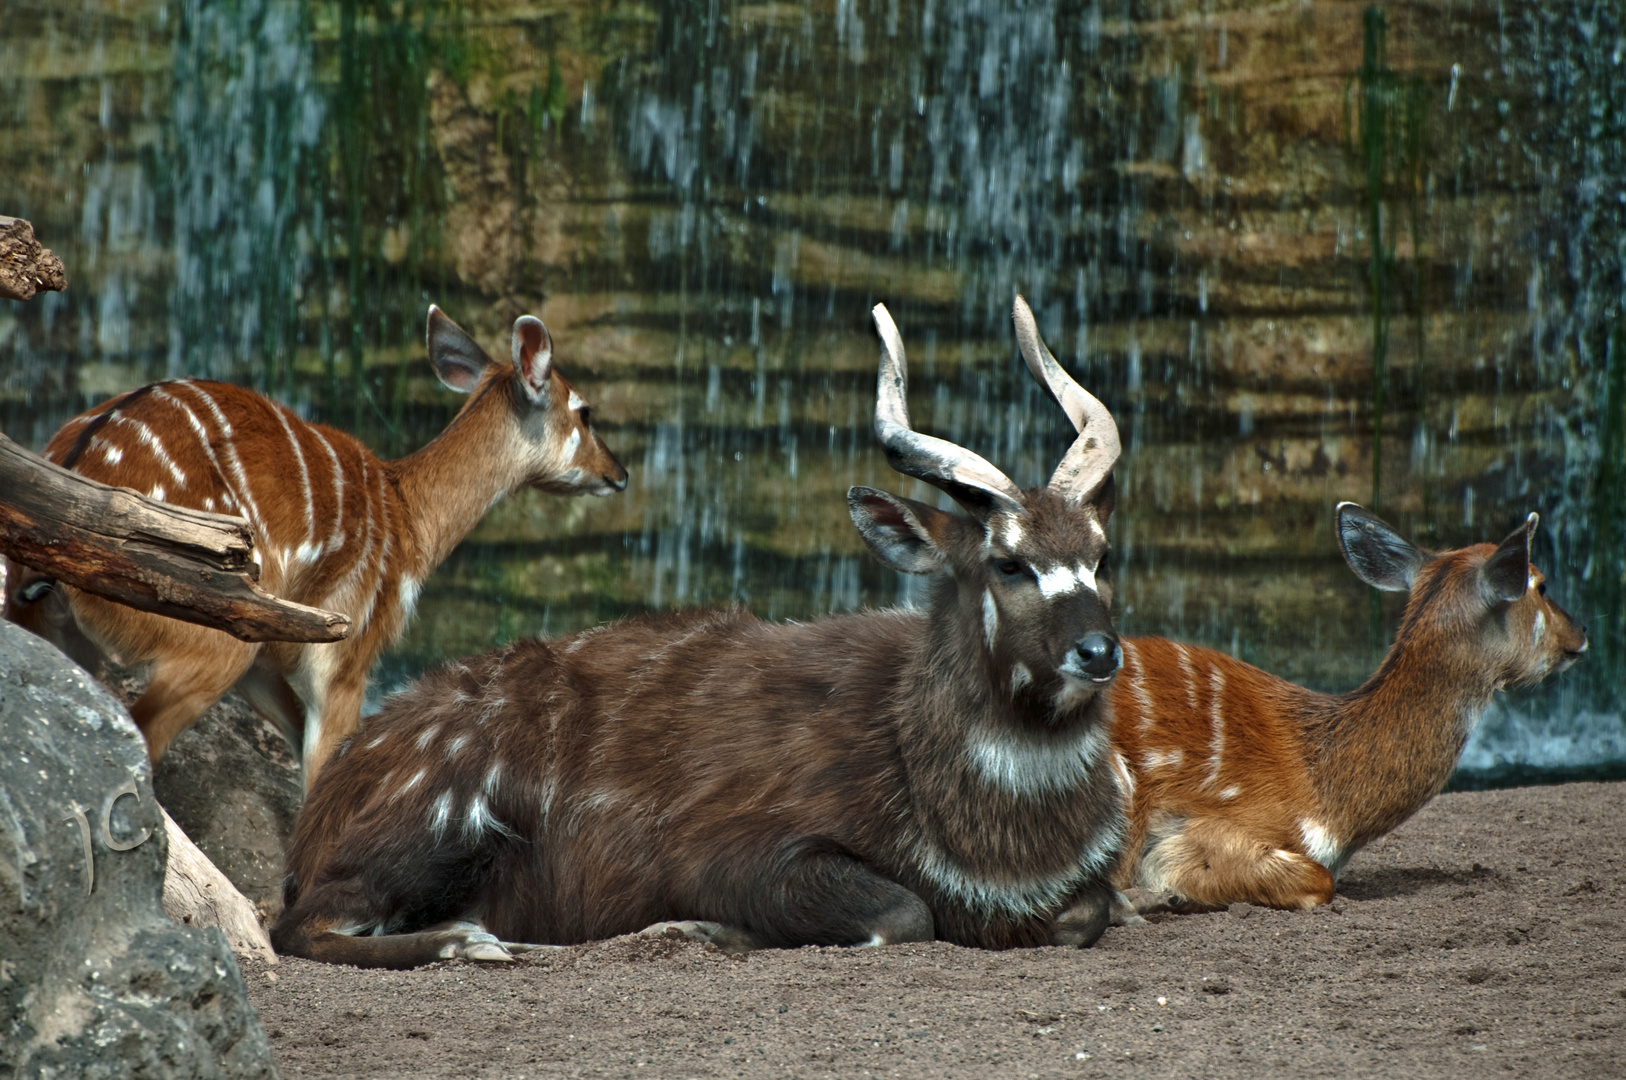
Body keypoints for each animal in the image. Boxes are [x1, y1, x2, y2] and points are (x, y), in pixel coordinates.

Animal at [4, 307, 627, 790]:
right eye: (585, 411)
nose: (619, 474)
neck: (410, 523)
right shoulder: (347, 654)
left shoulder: (270, 659)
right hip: (209, 638)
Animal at [269, 297, 1131, 969]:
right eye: (1007, 562)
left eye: (1100, 554)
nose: (1099, 653)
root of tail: (326, 803)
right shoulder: (732, 851)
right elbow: (903, 914)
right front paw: (704, 928)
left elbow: (1094, 911)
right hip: (444, 825)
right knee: (299, 926)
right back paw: (477, 942)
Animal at [1112, 504, 1580, 910]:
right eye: (1540, 584)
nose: (1581, 633)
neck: (1329, 801)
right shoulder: (1206, 833)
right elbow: (1320, 879)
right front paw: (1172, 894)